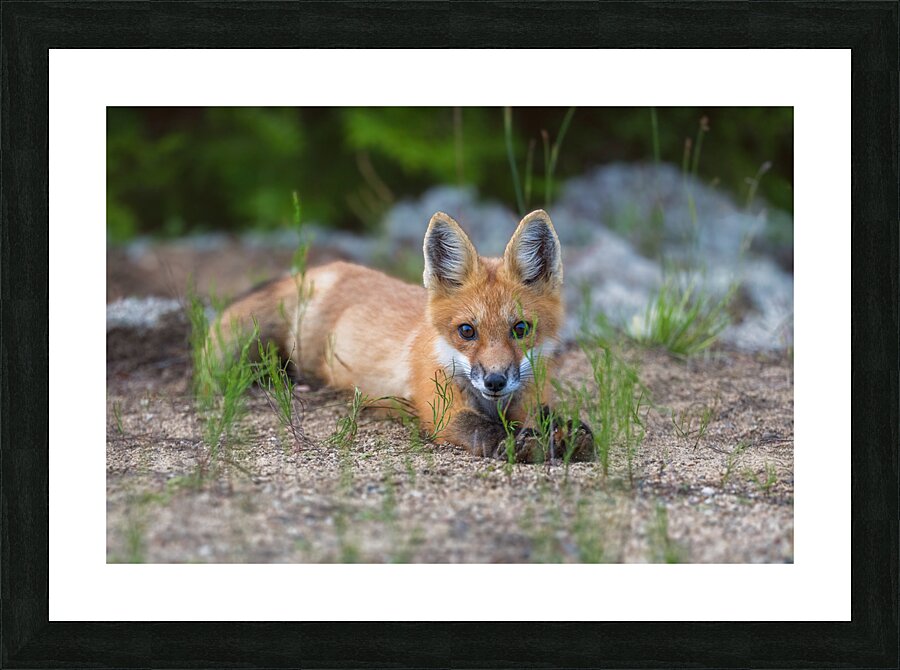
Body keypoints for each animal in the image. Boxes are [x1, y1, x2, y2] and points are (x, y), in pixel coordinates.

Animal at [212, 209, 593, 463]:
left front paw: (570, 433)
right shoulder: (442, 411)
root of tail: (324, 270)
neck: (493, 403)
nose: (495, 381)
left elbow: (547, 414)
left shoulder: (530, 397)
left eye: (521, 329)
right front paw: (519, 443)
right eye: (467, 331)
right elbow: (484, 427)